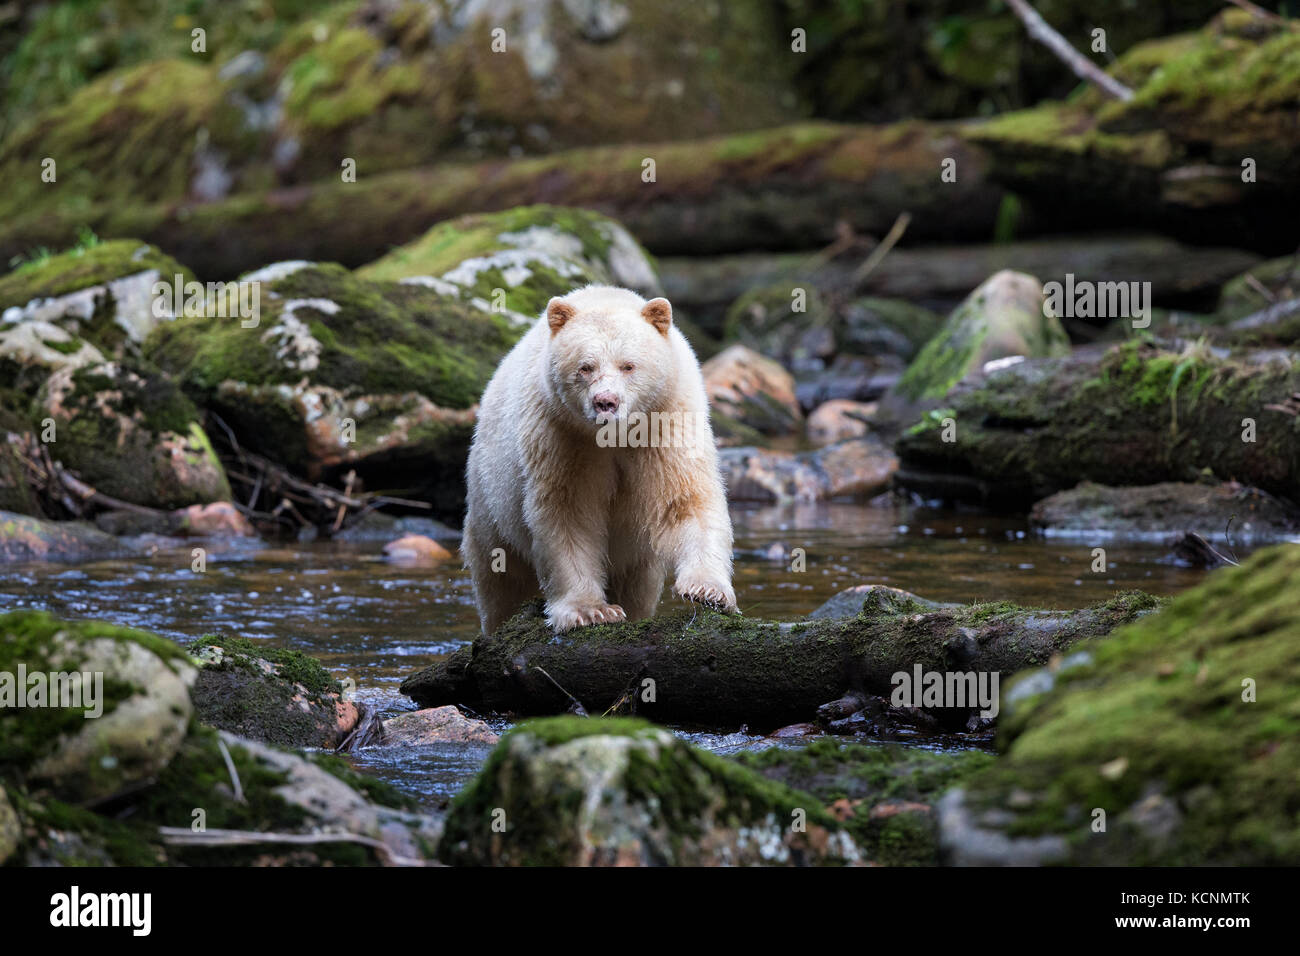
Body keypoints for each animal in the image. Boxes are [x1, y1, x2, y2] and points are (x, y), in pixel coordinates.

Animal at [462, 282, 738, 634]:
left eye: (628, 365)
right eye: (585, 367)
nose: (605, 401)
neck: (616, 436)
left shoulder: (667, 422)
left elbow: (684, 499)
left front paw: (708, 591)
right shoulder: (562, 438)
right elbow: (568, 514)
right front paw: (590, 611)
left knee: (637, 586)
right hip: (492, 504)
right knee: (501, 581)